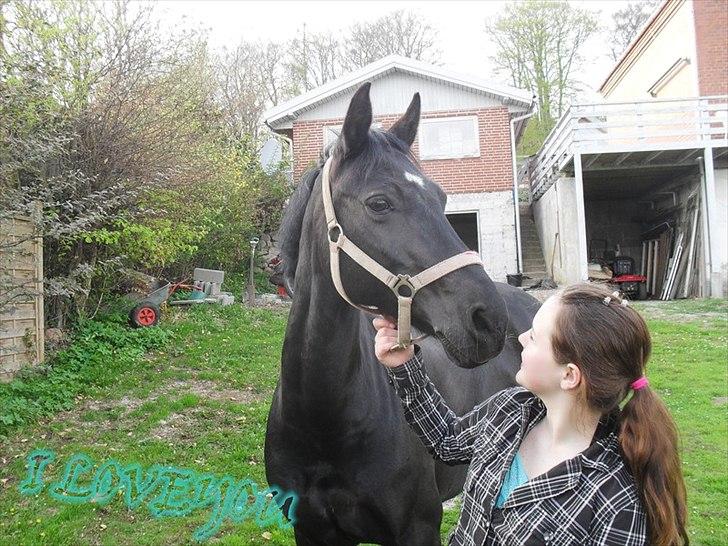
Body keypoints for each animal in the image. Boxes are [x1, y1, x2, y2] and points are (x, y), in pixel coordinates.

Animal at [265, 83, 540, 545]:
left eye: (441, 197)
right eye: (379, 202)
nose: (487, 321)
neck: (325, 420)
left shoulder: (417, 528)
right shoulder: (311, 531)